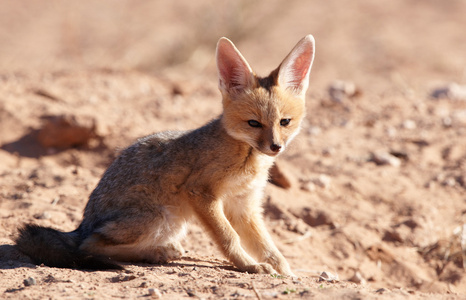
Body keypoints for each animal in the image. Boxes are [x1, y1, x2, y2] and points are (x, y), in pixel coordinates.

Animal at [17, 34, 316, 274]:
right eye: (253, 123)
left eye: (284, 122)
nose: (275, 147)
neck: (247, 159)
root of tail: (82, 225)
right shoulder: (201, 193)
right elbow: (228, 237)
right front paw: (249, 266)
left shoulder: (244, 206)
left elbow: (265, 244)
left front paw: (285, 270)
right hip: (160, 219)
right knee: (89, 246)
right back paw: (154, 252)